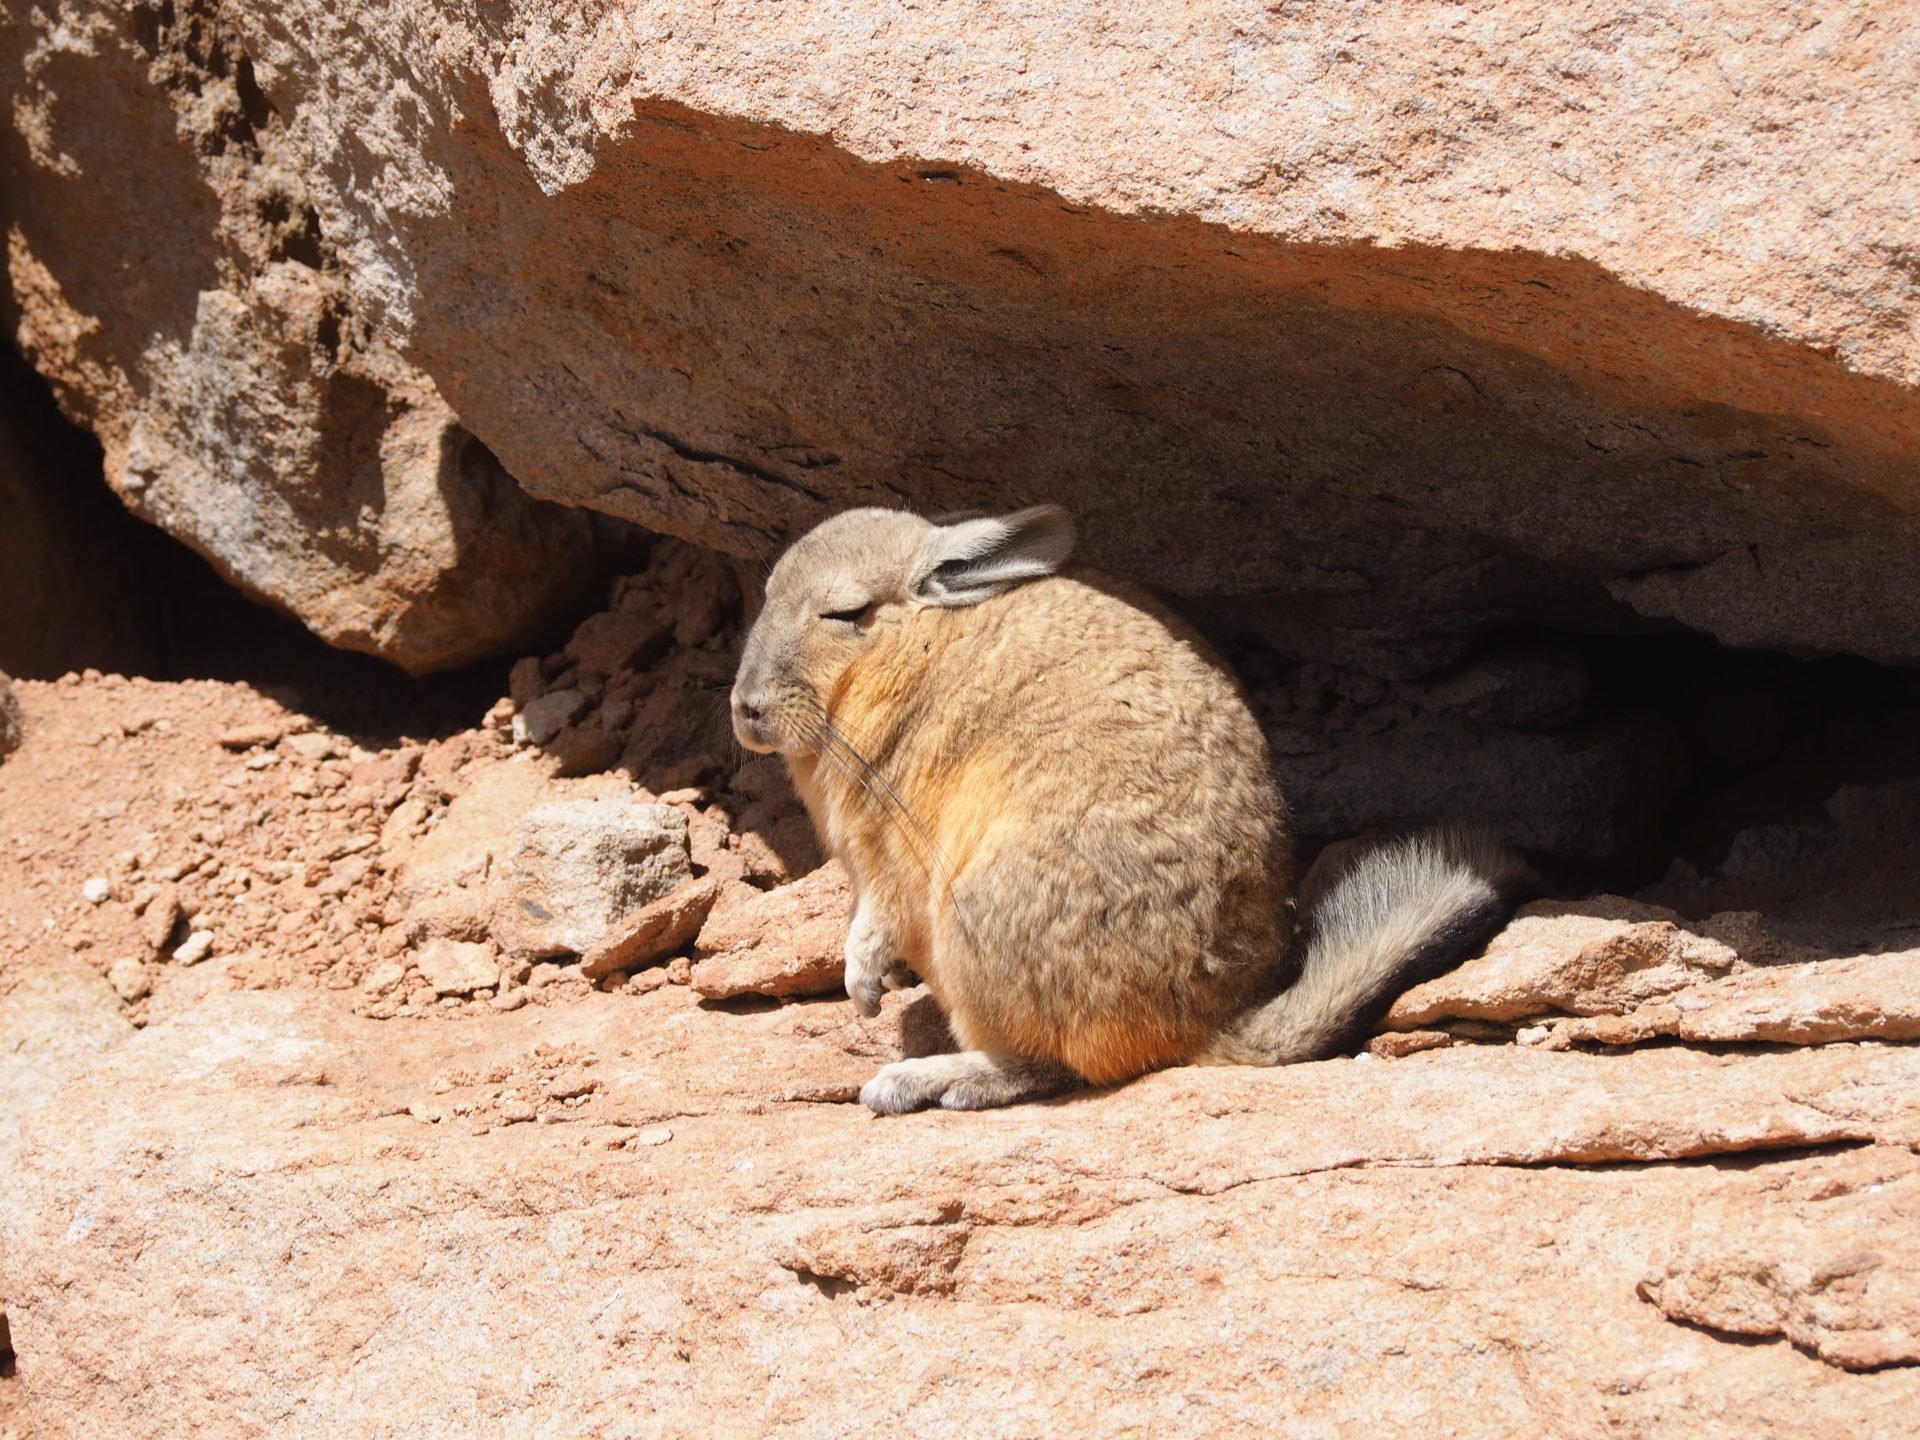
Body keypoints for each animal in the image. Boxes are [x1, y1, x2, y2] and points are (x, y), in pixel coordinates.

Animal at [731, 505, 1520, 1113]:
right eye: (764, 594)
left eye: (847, 613)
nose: (745, 710)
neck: (901, 658)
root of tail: (1209, 1027)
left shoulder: (887, 851)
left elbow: (873, 923)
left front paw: (863, 994)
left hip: (977, 916)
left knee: (1055, 1063)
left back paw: (918, 1080)